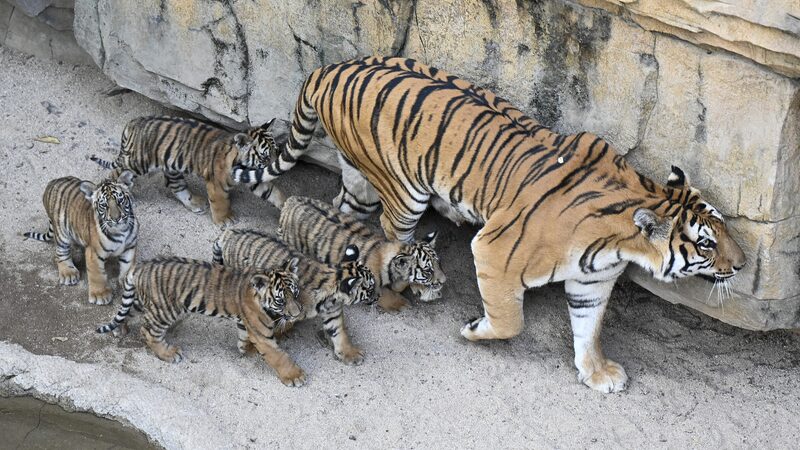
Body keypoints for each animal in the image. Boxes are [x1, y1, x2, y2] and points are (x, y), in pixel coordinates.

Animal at [23, 171, 139, 305]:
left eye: (120, 200)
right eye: (104, 205)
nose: (116, 218)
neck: (121, 230)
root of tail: (52, 182)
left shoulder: (130, 248)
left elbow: (128, 267)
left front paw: (129, 286)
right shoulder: (94, 253)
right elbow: (97, 275)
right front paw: (100, 295)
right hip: (62, 233)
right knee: (60, 254)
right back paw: (68, 273)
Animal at [89, 115, 284, 226]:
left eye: (276, 151)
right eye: (264, 157)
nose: (275, 167)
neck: (242, 163)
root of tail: (134, 122)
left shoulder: (253, 177)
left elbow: (272, 192)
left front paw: (285, 205)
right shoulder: (216, 183)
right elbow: (220, 202)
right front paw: (224, 220)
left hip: (172, 167)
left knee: (176, 186)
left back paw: (194, 203)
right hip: (137, 163)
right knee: (114, 175)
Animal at [97, 257, 305, 386]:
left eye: (295, 293)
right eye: (280, 300)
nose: (297, 314)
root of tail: (141, 266)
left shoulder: (246, 323)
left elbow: (244, 338)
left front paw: (247, 349)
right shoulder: (262, 332)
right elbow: (278, 355)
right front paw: (295, 376)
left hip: (142, 302)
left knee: (127, 311)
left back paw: (119, 329)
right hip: (164, 311)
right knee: (148, 332)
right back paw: (169, 353)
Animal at [212, 228, 377, 371]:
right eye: (370, 288)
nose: (377, 298)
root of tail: (230, 233)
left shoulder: (333, 313)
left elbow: (339, 333)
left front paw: (350, 354)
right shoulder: (286, 310)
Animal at [278, 195, 445, 311]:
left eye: (439, 264)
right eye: (427, 271)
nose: (444, 281)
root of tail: (290, 201)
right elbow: (384, 293)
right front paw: (401, 304)